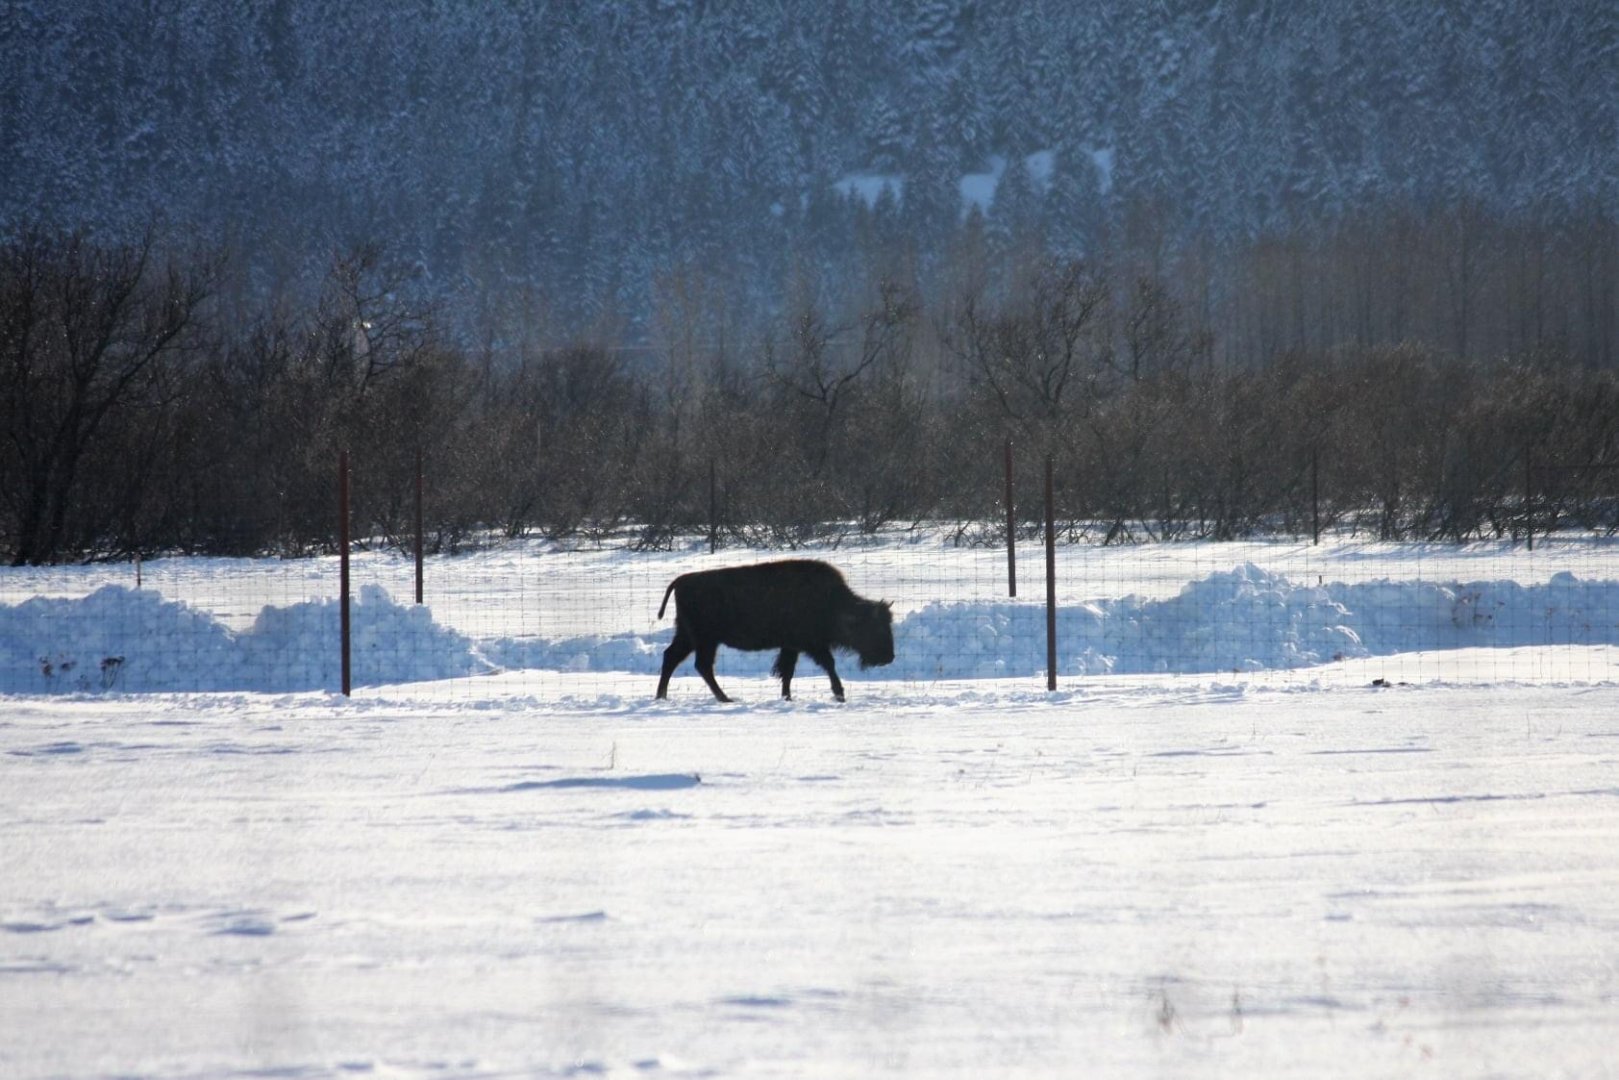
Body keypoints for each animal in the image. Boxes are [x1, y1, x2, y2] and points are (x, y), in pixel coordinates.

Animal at [655, 559, 894, 702]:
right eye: (876, 628)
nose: (889, 657)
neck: (834, 603)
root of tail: (681, 581)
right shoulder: (812, 645)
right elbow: (827, 664)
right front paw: (839, 694)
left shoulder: (791, 646)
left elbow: (787, 671)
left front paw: (787, 697)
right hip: (705, 640)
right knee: (700, 665)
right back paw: (724, 698)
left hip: (689, 637)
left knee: (673, 658)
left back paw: (662, 696)